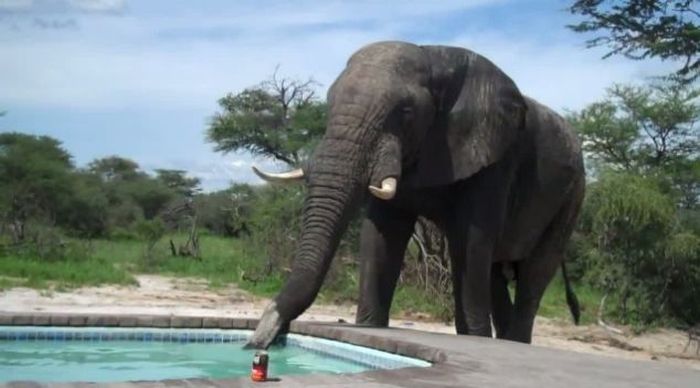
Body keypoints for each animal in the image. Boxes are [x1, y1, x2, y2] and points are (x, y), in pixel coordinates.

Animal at [246, 41, 584, 348]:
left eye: (406, 112)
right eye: (328, 103)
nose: (259, 341)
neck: (434, 56)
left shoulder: (494, 157)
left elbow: (471, 241)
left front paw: (474, 338)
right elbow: (382, 234)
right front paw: (369, 327)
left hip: (572, 197)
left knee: (534, 273)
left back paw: (513, 342)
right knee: (495, 274)